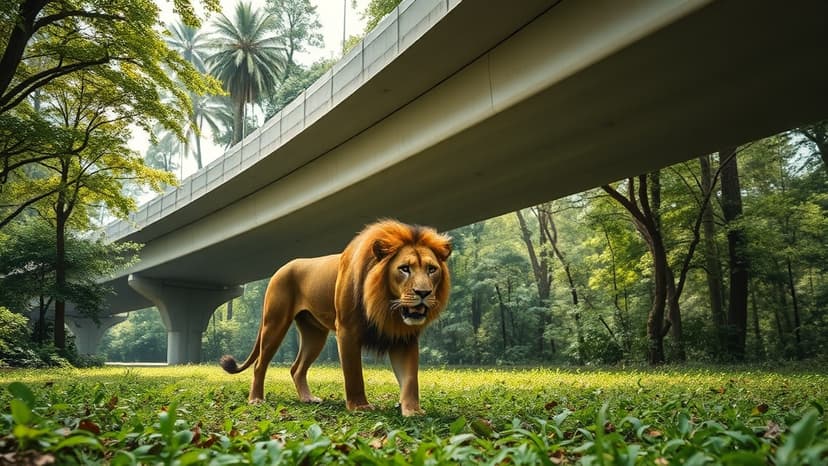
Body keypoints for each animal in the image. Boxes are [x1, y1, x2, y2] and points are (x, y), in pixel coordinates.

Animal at [220, 219, 452, 416]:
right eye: (404, 269)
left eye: (432, 269)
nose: (423, 293)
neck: (385, 305)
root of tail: (282, 268)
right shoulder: (347, 330)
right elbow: (354, 374)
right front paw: (360, 406)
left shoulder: (405, 337)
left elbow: (411, 378)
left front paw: (413, 410)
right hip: (275, 323)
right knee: (260, 364)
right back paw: (256, 399)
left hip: (314, 334)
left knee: (296, 368)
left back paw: (307, 398)